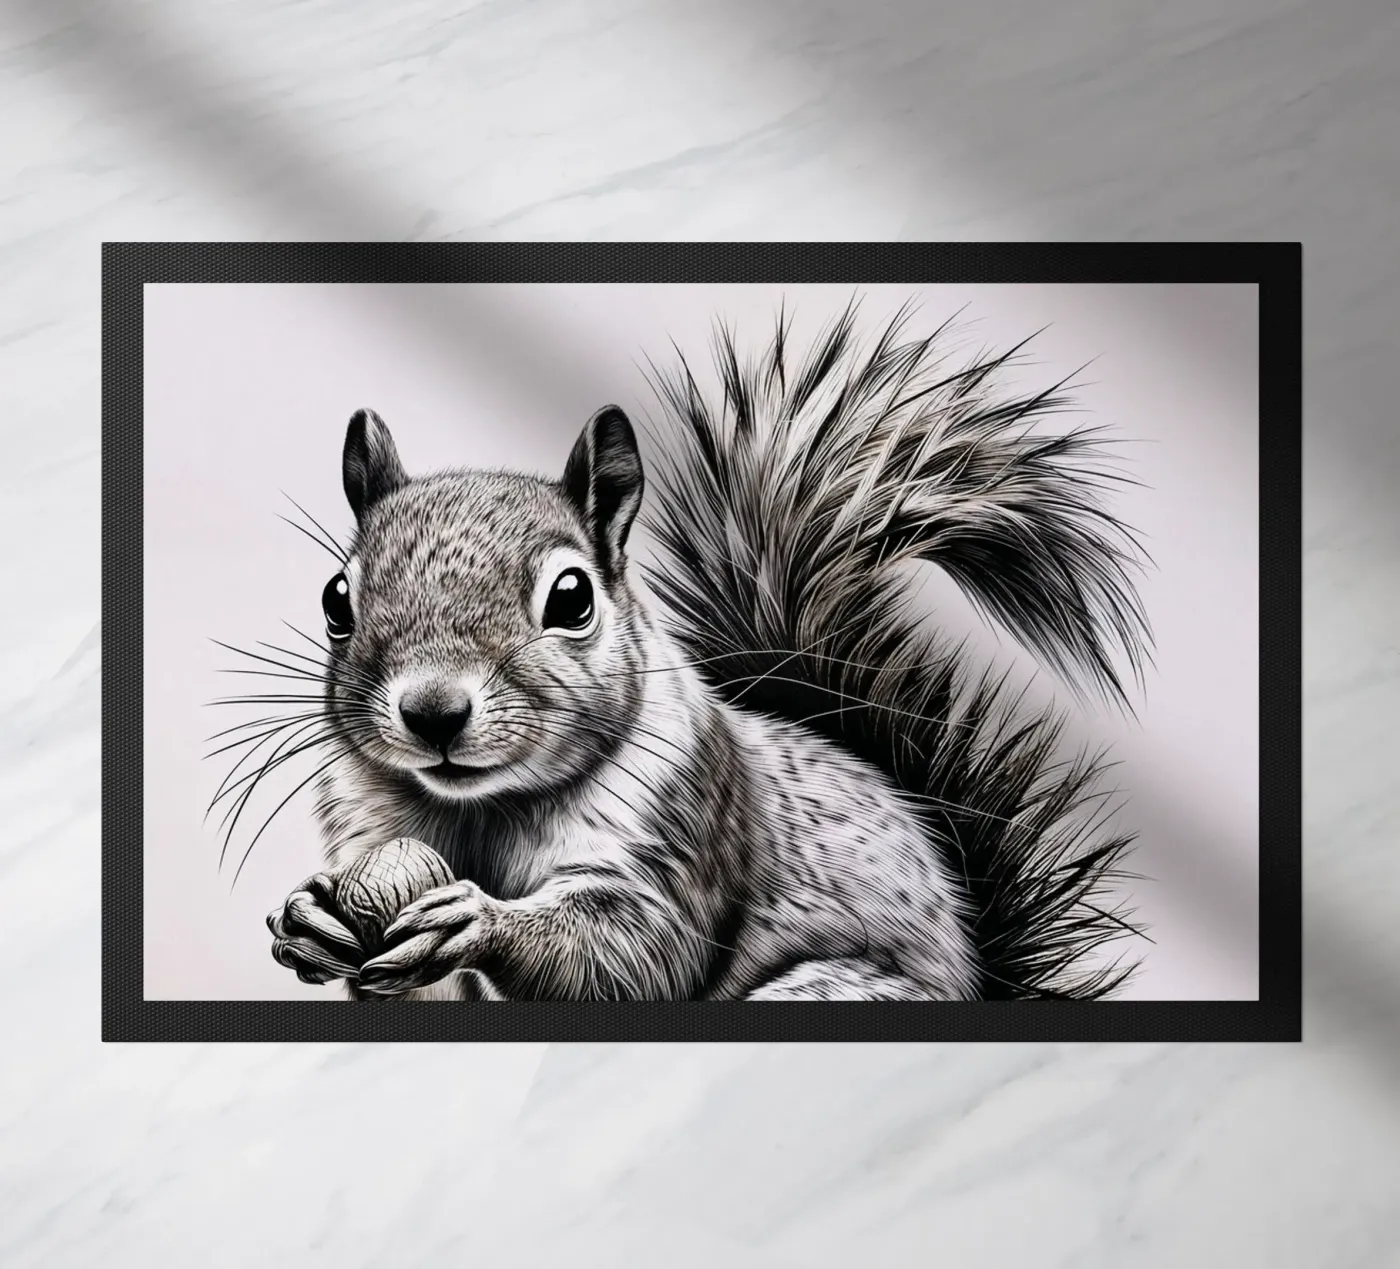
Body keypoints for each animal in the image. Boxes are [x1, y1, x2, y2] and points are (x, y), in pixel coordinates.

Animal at [256, 303, 1151, 1002]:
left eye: (573, 597)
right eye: (337, 599)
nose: (433, 711)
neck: (482, 810)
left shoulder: (681, 823)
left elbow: (637, 953)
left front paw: (476, 921)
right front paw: (311, 915)